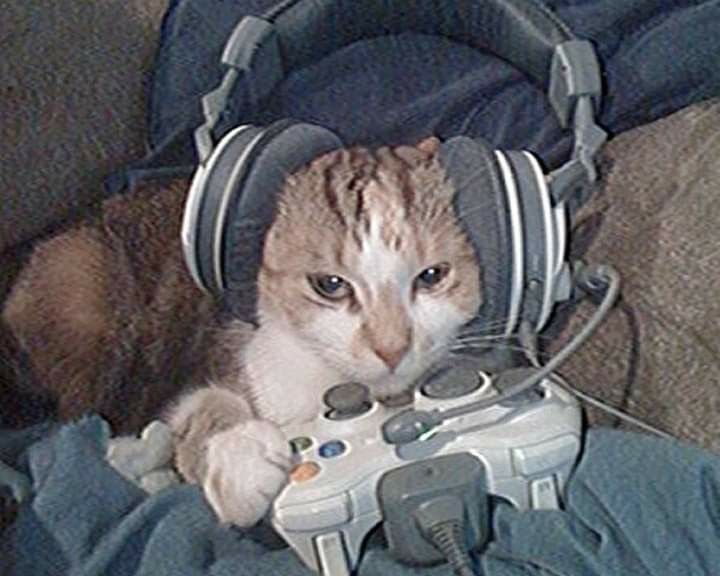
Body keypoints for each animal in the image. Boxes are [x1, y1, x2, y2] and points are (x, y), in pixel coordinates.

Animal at [2, 136, 484, 528]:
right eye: (329, 285)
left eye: (432, 275)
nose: (391, 348)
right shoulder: (206, 361)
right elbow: (202, 403)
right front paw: (239, 460)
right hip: (83, 291)